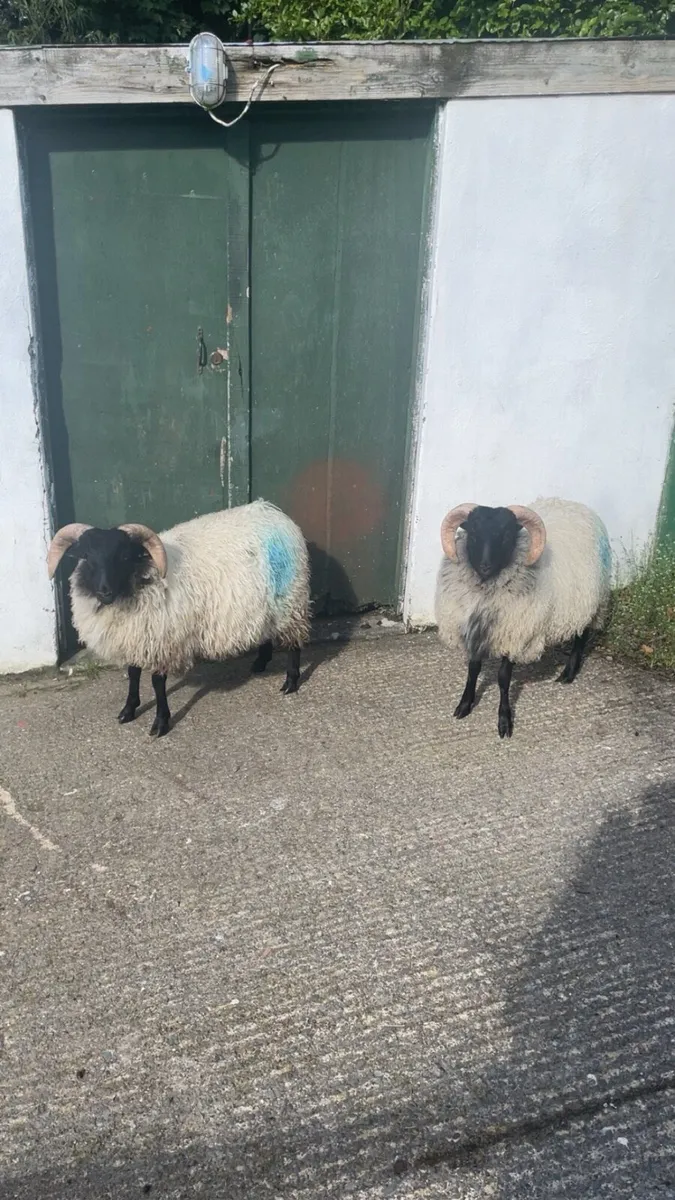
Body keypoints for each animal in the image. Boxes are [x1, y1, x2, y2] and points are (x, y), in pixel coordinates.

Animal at [47, 500, 311, 737]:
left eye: (123, 557)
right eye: (86, 556)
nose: (105, 591)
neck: (142, 579)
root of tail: (274, 513)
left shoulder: (164, 640)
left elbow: (157, 682)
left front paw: (161, 722)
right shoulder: (135, 636)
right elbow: (133, 674)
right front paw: (128, 710)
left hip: (291, 601)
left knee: (294, 644)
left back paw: (291, 682)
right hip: (266, 604)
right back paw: (260, 663)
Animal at [435, 499, 611, 739]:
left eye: (507, 535)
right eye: (473, 533)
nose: (485, 565)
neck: (487, 589)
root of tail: (574, 504)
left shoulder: (515, 632)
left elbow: (503, 678)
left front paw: (504, 721)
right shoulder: (476, 631)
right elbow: (473, 670)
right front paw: (464, 705)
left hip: (588, 600)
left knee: (581, 635)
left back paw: (568, 673)